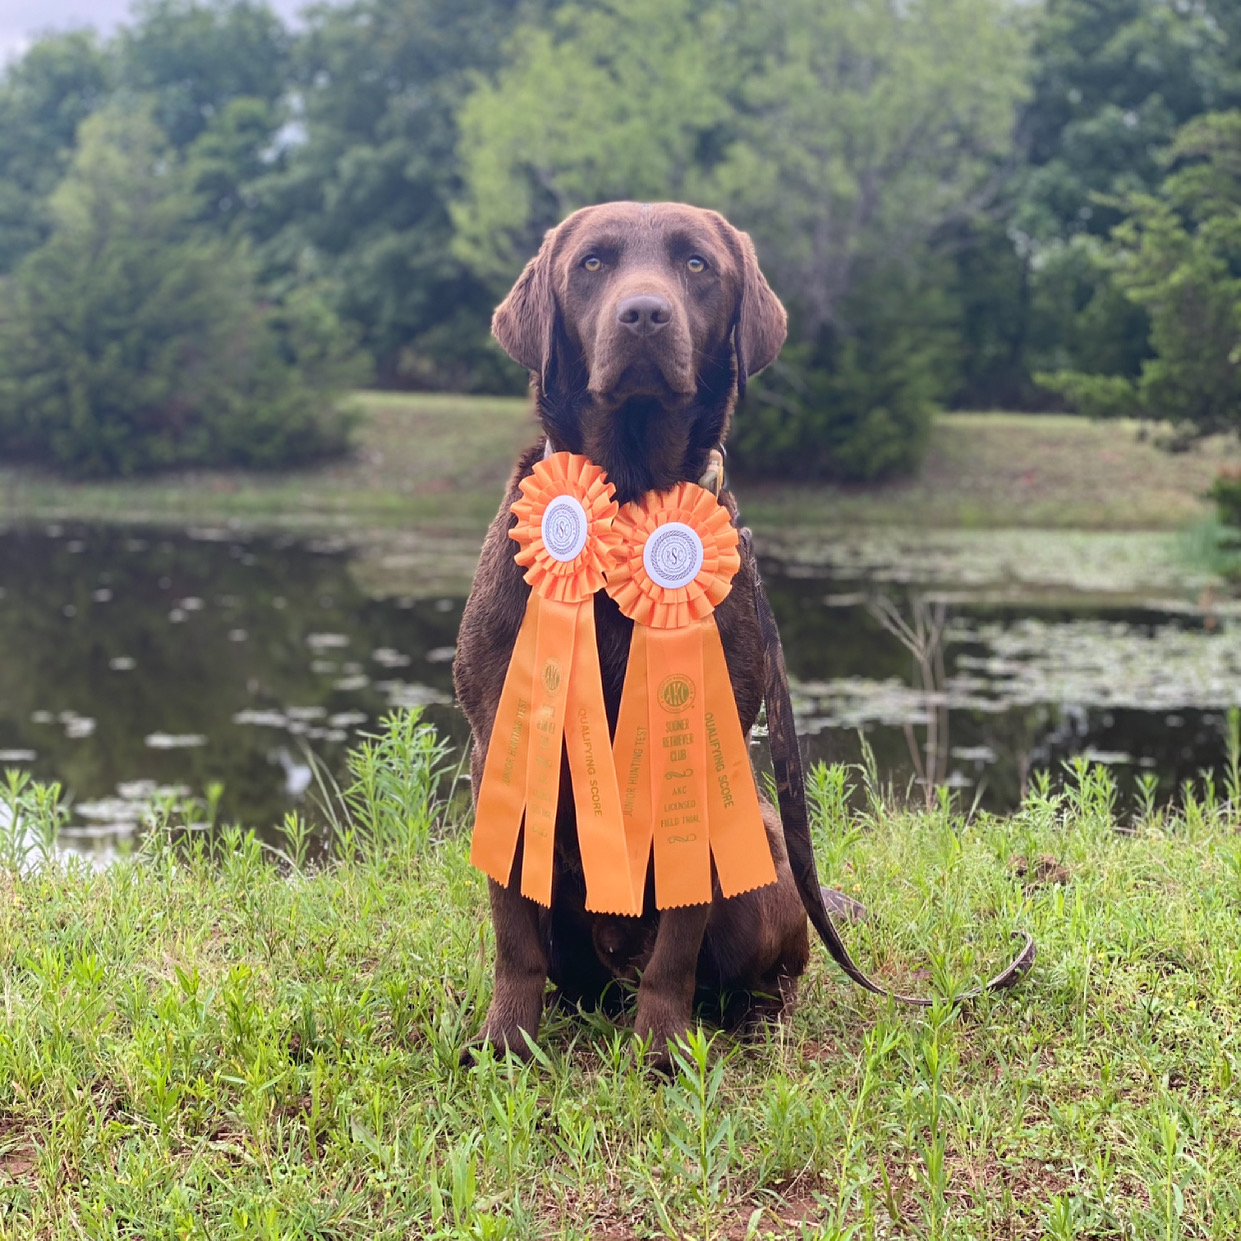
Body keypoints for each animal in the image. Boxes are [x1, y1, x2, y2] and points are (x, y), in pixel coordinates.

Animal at [456, 203, 814, 1067]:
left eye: (695, 264)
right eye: (591, 263)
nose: (644, 315)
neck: (624, 500)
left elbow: (679, 937)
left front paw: (663, 1044)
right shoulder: (498, 744)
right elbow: (512, 931)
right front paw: (507, 1036)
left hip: (762, 856)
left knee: (770, 967)